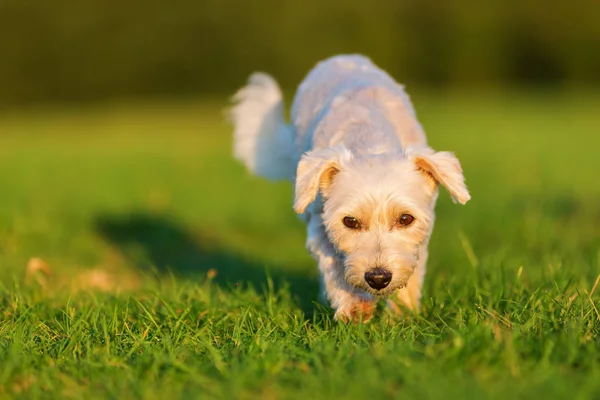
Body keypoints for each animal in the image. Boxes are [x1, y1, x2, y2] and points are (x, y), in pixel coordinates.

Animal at [229, 54, 468, 322]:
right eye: (350, 222)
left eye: (406, 218)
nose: (378, 278)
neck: (368, 136)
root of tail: (341, 57)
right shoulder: (319, 225)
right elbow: (333, 265)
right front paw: (355, 307)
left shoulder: (422, 234)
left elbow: (413, 272)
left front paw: (403, 315)